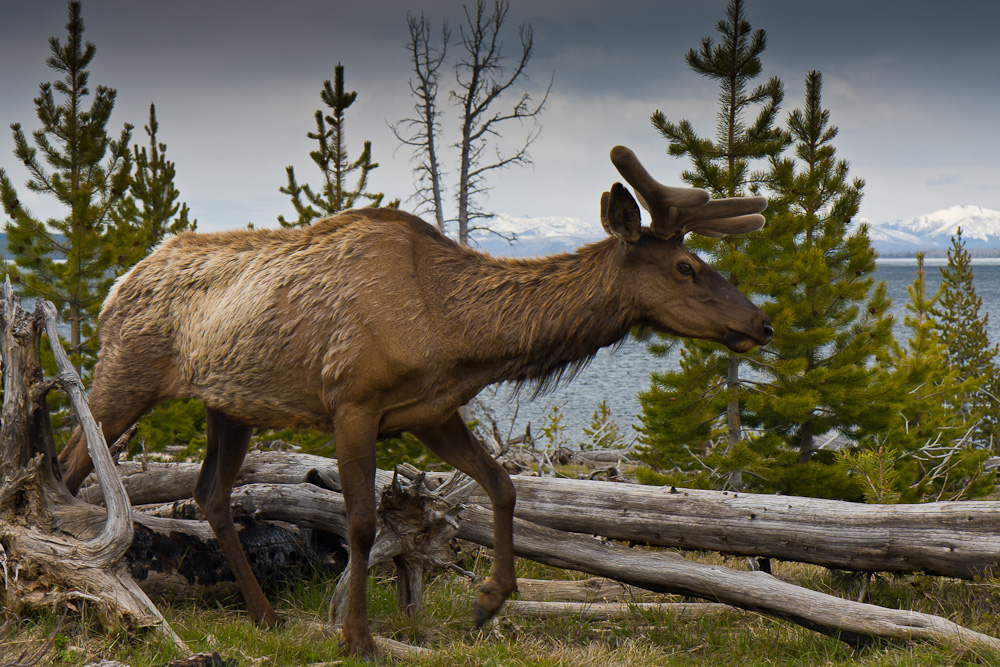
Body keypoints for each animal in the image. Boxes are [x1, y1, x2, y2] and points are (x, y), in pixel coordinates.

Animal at [56, 145, 772, 656]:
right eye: (686, 268)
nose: (761, 323)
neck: (458, 334)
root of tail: (116, 285)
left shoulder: (431, 411)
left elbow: (503, 484)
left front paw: (490, 600)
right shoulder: (353, 403)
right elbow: (361, 524)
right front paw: (358, 637)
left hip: (228, 405)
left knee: (209, 493)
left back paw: (266, 614)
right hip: (127, 373)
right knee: (71, 466)